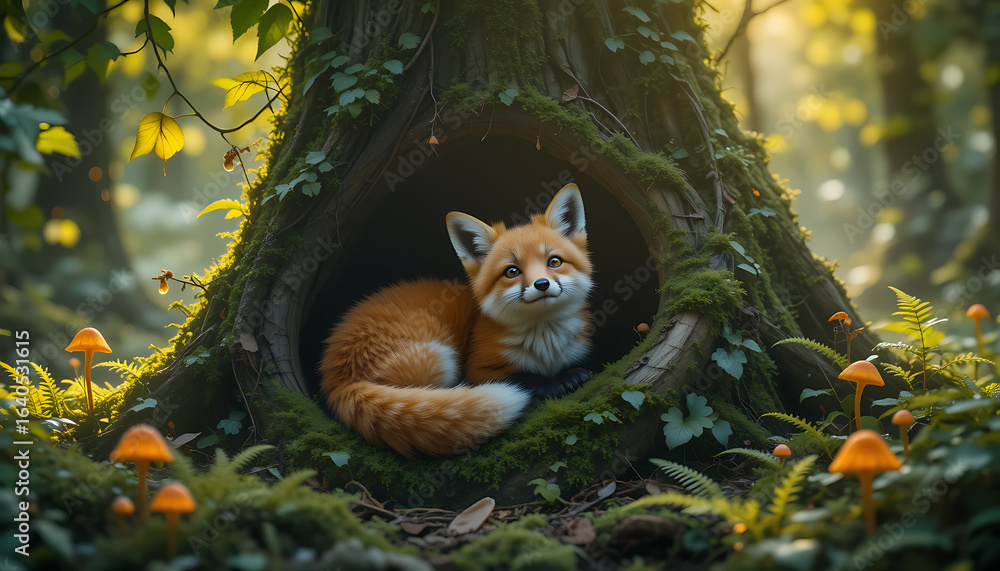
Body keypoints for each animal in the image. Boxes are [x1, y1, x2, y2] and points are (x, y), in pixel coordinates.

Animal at [319, 183, 594, 457]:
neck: (546, 349)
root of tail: (337, 377)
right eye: (512, 271)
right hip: (440, 357)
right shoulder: (478, 369)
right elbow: (523, 378)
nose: (542, 284)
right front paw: (557, 382)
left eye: (554, 261)